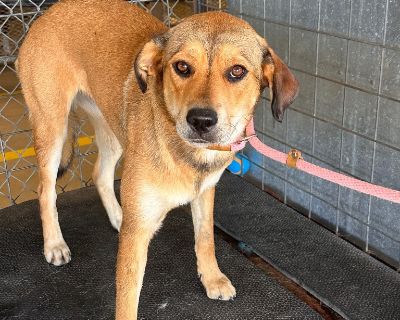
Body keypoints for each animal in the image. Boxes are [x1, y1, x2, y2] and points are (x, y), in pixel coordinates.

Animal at [17, 0, 298, 318]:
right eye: (182, 66)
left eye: (237, 71)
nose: (201, 121)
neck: (187, 152)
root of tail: (49, 13)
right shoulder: (137, 237)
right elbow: (127, 299)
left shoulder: (205, 192)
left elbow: (205, 238)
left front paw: (212, 278)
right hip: (52, 126)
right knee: (46, 190)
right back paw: (54, 243)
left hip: (113, 128)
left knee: (100, 173)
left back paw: (118, 215)